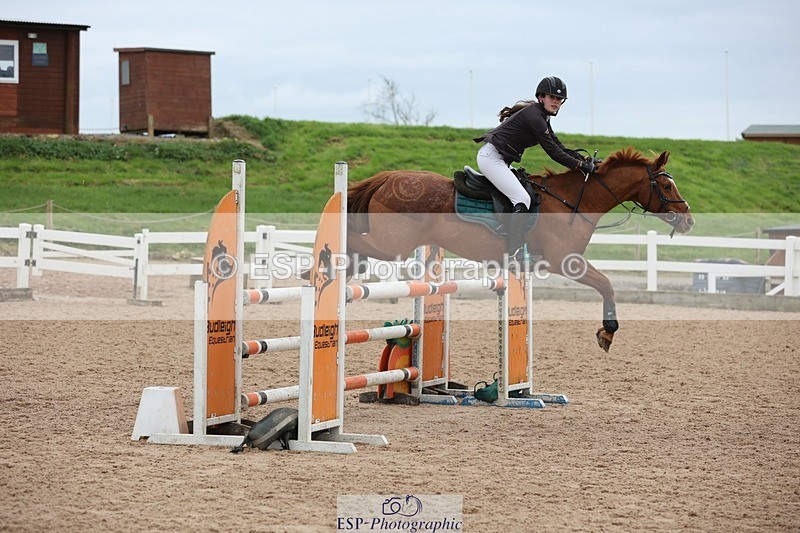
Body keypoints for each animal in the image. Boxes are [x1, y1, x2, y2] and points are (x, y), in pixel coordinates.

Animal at [345, 147, 695, 352]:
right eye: (666, 185)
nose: (689, 220)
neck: (573, 201)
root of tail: (387, 178)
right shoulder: (567, 261)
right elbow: (607, 285)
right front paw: (607, 333)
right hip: (393, 244)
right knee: (354, 242)